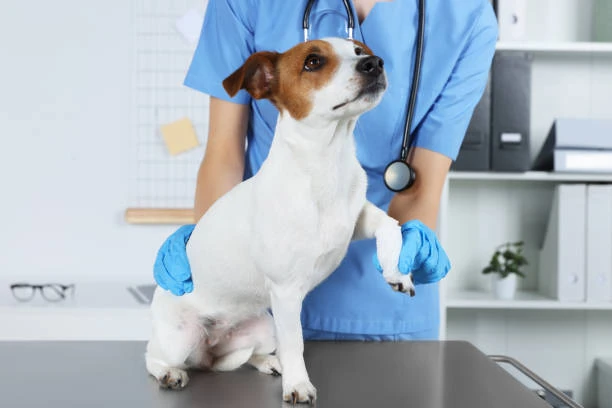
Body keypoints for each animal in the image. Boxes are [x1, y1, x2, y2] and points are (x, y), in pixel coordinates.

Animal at [145, 36, 416, 404]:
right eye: (313, 61)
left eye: (359, 51)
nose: (374, 63)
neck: (327, 165)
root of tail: (208, 350)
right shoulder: (287, 293)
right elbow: (296, 343)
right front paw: (298, 385)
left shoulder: (355, 218)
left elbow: (390, 225)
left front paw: (397, 272)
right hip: (180, 338)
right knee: (153, 355)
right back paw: (170, 373)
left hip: (263, 328)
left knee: (247, 354)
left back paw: (269, 362)